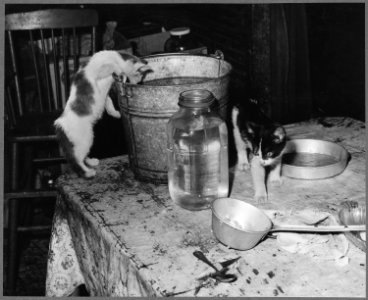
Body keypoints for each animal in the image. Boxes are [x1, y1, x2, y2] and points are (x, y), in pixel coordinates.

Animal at [54, 49, 152, 178]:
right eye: (139, 76)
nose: (137, 84)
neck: (114, 56)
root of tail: (60, 125)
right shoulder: (99, 70)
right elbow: (113, 66)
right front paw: (118, 70)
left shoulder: (105, 96)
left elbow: (108, 102)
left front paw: (115, 113)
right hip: (85, 139)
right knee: (77, 159)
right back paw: (88, 172)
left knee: (82, 156)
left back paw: (91, 162)